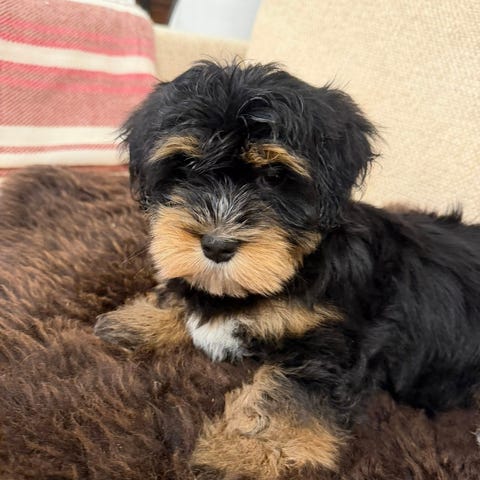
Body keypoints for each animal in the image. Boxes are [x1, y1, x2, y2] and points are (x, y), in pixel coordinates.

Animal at [95, 61, 480, 479]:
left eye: (274, 177)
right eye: (188, 166)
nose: (216, 245)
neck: (297, 268)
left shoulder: (336, 342)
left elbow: (287, 397)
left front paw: (240, 456)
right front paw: (139, 320)